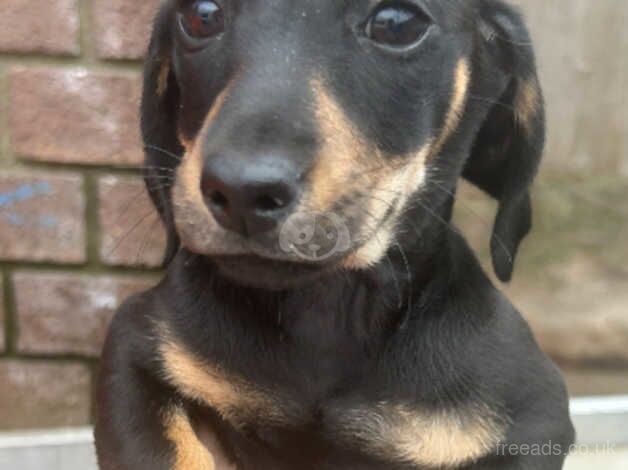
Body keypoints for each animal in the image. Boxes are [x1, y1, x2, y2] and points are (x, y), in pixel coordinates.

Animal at [94, 1, 576, 468]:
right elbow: (169, 450)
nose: (241, 191)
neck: (329, 311)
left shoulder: (531, 422)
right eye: (201, 16)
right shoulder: (137, 349)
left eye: (397, 25)